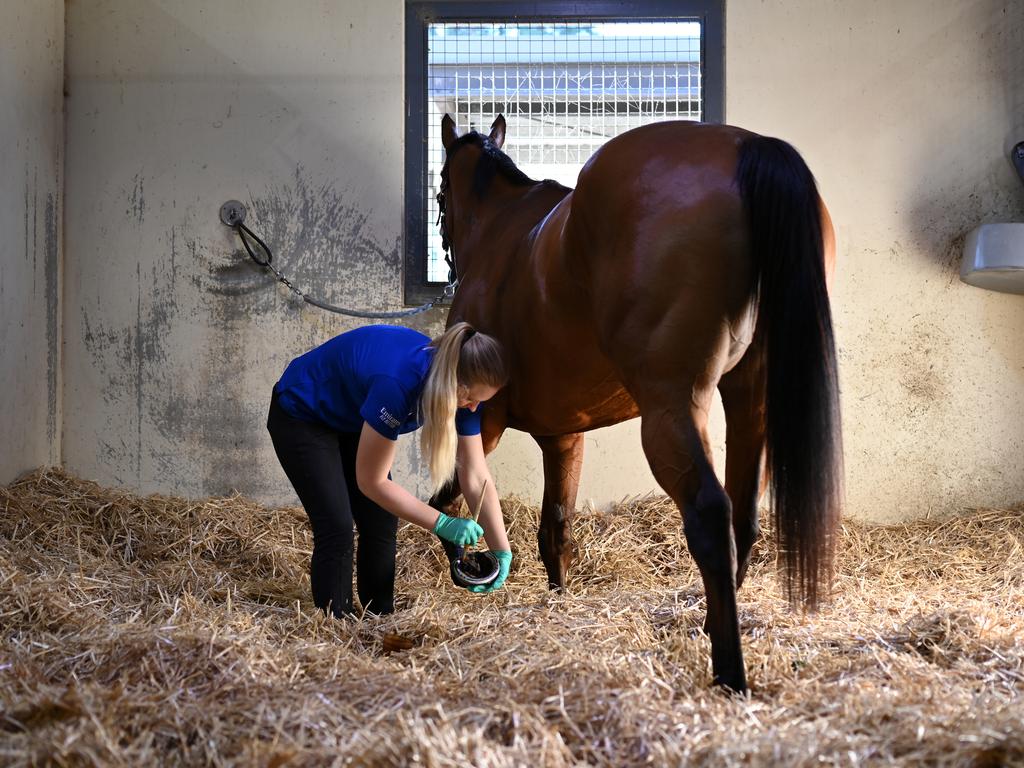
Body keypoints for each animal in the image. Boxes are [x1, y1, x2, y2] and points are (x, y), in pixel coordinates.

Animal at [428, 111, 843, 696]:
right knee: (743, 515)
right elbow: (555, 527)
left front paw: (470, 565)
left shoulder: (483, 420)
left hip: (671, 409)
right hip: (751, 403)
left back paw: (730, 672)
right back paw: (712, 626)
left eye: (441, 192)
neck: (502, 236)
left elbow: (447, 500)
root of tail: (750, 148)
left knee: (711, 515)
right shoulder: (564, 435)